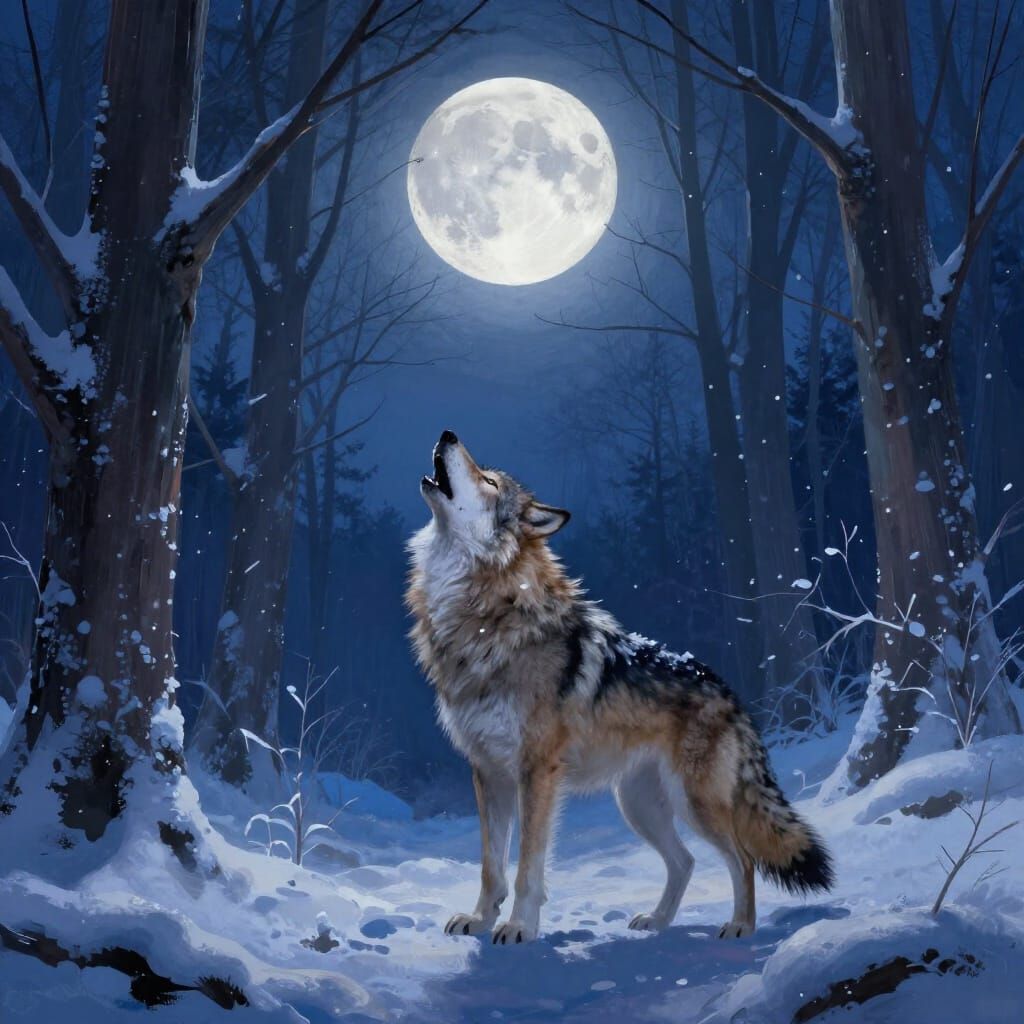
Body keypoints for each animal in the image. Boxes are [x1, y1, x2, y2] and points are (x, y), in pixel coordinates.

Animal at [407, 430, 833, 945]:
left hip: (693, 804)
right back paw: (658, 922)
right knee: (686, 861)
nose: (447, 434)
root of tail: (731, 694)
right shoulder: (487, 773)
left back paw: (739, 926)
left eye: (488, 481)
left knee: (742, 859)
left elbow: (528, 866)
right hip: (638, 806)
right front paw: (480, 920)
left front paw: (519, 927)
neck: (486, 615)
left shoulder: (536, 772)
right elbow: (492, 867)